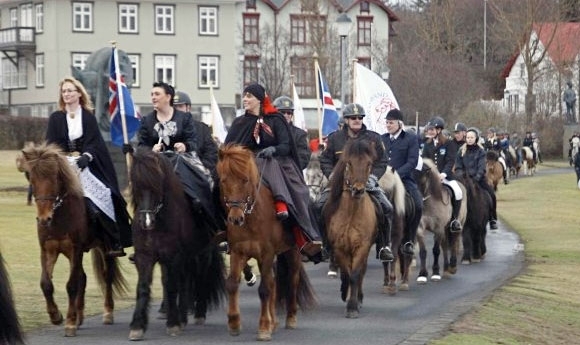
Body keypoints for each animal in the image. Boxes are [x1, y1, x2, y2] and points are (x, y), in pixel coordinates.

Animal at [20, 142, 127, 336]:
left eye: (54, 178)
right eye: (31, 177)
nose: (44, 219)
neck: (60, 216)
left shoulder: (75, 250)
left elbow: (71, 285)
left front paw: (69, 323)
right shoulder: (48, 250)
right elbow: (46, 284)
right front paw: (56, 316)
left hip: (104, 248)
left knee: (106, 276)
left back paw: (107, 312)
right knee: (82, 277)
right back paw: (79, 316)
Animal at [128, 149, 225, 340]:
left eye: (156, 183)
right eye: (135, 183)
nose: (146, 221)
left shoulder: (171, 256)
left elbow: (171, 286)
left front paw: (172, 324)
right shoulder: (145, 257)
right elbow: (143, 287)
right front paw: (137, 326)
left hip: (201, 254)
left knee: (199, 279)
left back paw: (198, 314)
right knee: (184, 282)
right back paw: (183, 317)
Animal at [216, 142, 318, 338]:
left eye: (245, 180)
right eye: (224, 180)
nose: (235, 219)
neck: (252, 219)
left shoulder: (268, 252)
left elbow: (264, 289)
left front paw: (263, 328)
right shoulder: (238, 252)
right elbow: (232, 284)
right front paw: (234, 323)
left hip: (292, 252)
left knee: (291, 280)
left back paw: (290, 318)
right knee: (273, 282)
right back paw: (274, 321)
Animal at [326, 138, 380, 316]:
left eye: (369, 163)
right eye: (348, 163)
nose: (358, 190)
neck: (351, 215)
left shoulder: (362, 246)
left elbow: (355, 275)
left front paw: (353, 306)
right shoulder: (340, 247)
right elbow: (346, 273)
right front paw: (345, 294)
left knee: (361, 271)